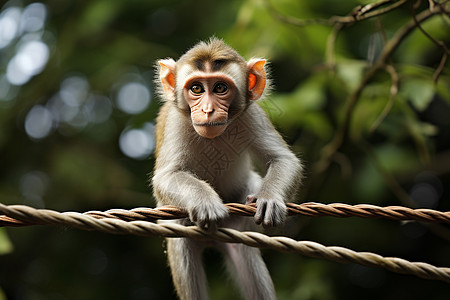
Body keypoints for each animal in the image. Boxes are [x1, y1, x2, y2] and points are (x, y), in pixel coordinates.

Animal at [152, 38, 302, 300]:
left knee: (244, 252)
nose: (208, 110)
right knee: (182, 244)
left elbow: (283, 159)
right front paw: (204, 202)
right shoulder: (176, 121)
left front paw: (270, 199)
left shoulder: (251, 114)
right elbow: (166, 176)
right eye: (197, 89)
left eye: (220, 88)